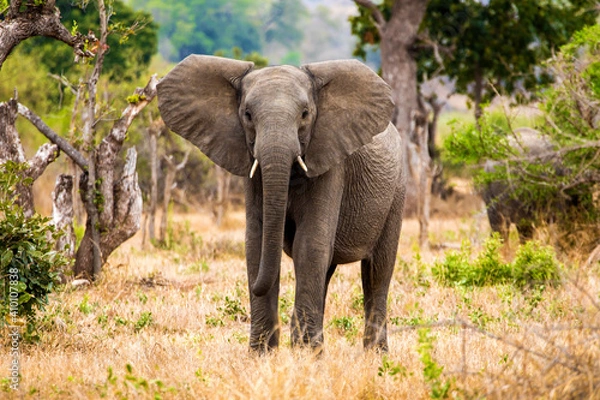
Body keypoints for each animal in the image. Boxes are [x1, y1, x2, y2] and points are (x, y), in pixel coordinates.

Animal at [157, 54, 406, 352]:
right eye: (247, 115)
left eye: (305, 114)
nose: (254, 287)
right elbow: (256, 244)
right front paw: (264, 354)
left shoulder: (331, 165)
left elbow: (309, 245)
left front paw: (305, 353)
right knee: (328, 271)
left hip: (397, 191)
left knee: (377, 271)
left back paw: (375, 355)